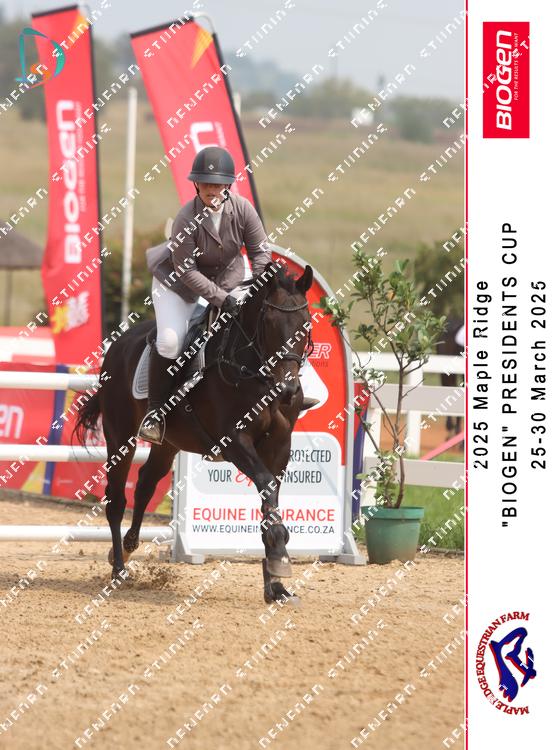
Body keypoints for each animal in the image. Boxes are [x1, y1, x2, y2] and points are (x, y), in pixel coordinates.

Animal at [73, 261, 314, 604]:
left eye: (305, 324)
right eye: (269, 323)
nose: (288, 391)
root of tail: (119, 342)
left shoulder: (279, 446)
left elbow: (270, 496)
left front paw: (277, 582)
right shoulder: (234, 441)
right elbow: (265, 484)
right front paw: (279, 554)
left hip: (168, 443)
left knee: (146, 484)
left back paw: (129, 547)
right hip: (120, 437)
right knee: (117, 499)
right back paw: (118, 568)